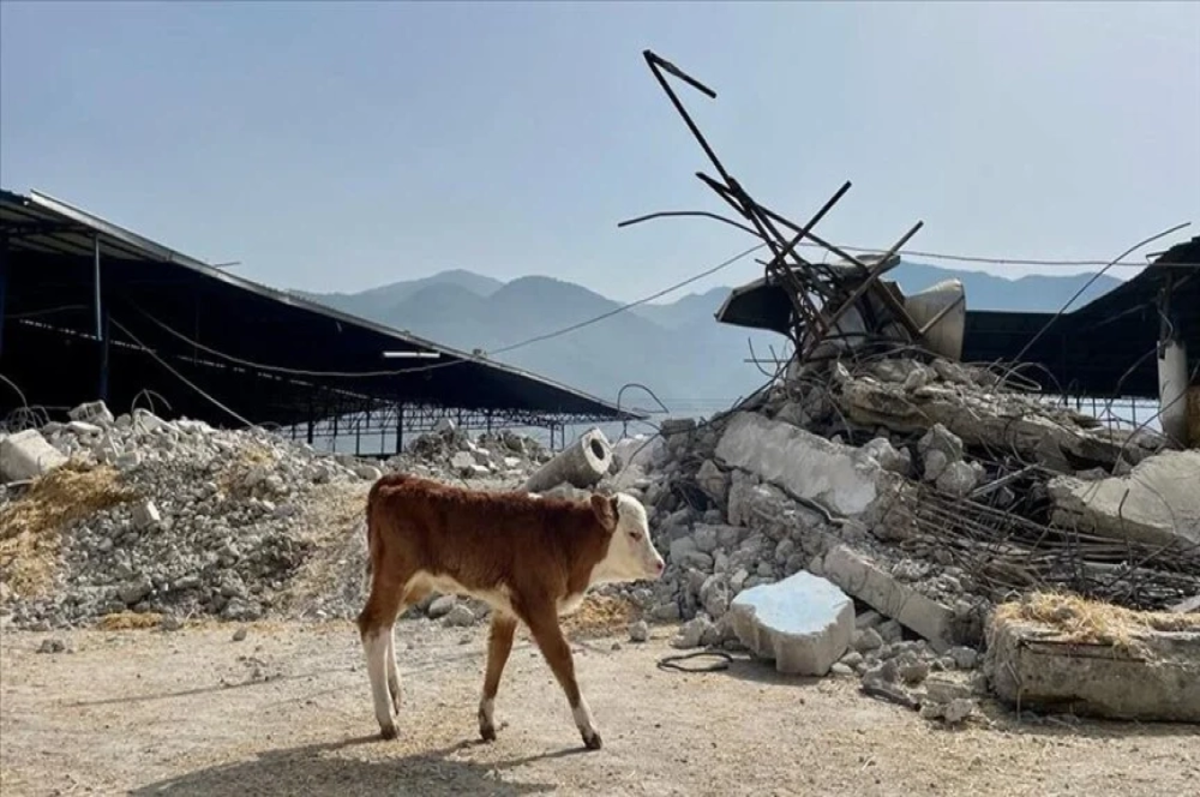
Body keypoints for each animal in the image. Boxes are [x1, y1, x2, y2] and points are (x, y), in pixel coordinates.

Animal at [355, 475, 667, 748]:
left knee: (387, 623)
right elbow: (562, 659)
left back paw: (394, 694)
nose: (660, 564)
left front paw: (486, 722)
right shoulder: (538, 603)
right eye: (634, 534)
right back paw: (387, 720)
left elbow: (498, 655)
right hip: (394, 574)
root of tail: (398, 479)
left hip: (418, 583)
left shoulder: (507, 608)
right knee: (372, 624)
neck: (560, 538)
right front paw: (589, 730)